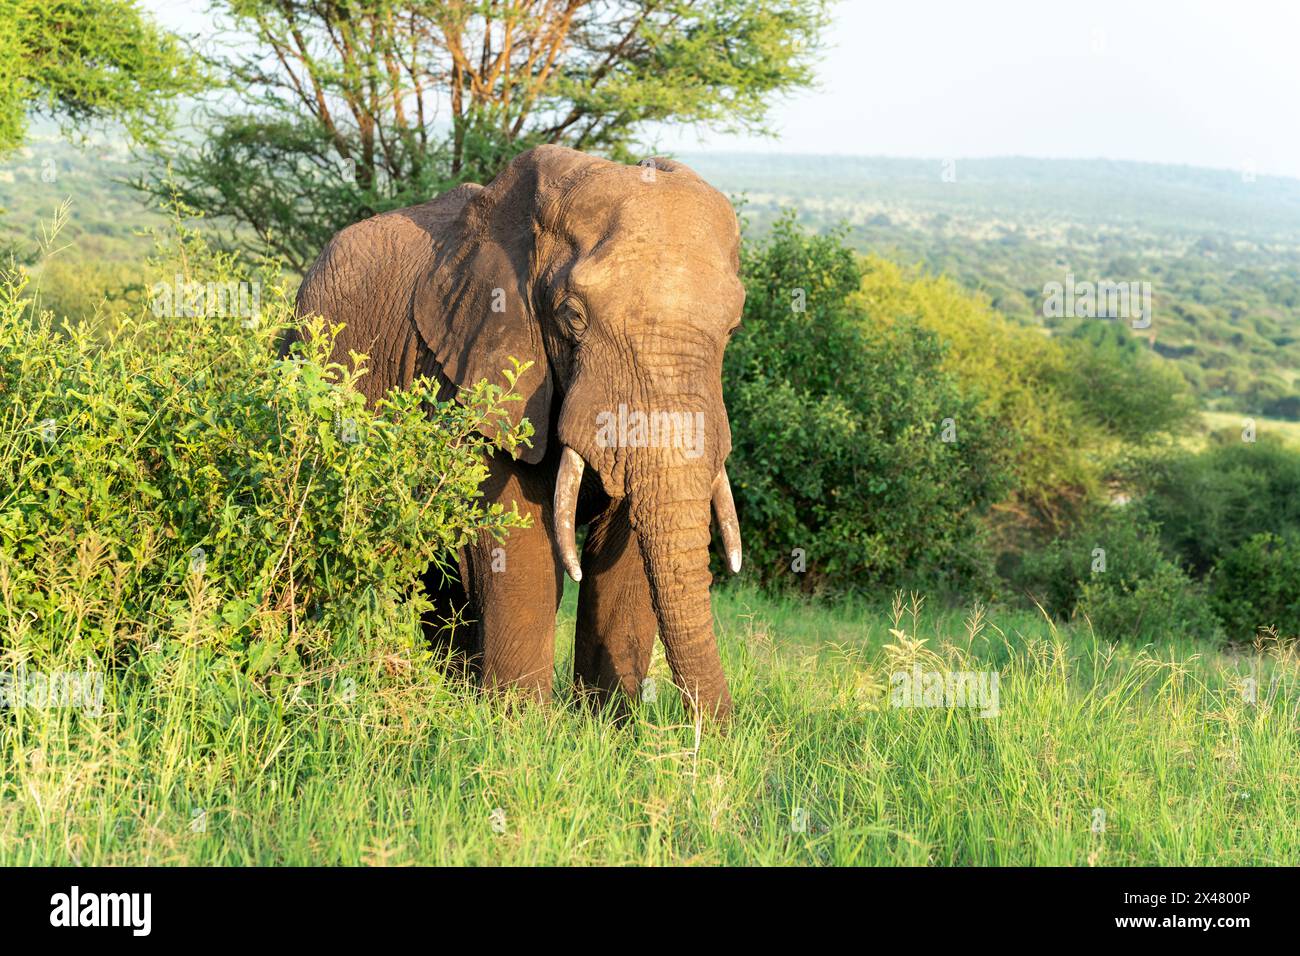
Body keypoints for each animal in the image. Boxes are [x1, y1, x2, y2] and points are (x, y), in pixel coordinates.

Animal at [289, 145, 748, 723]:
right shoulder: (471, 369)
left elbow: (626, 547)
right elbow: (518, 534)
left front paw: (608, 726)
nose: (717, 733)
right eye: (572, 317)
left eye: (732, 329)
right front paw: (522, 724)